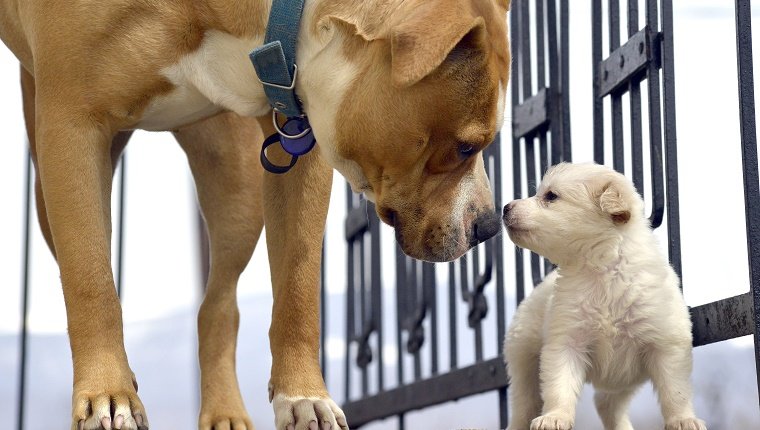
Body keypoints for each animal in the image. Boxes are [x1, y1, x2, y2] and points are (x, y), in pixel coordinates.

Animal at [1, 0, 510, 430]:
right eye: (466, 146)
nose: (488, 225)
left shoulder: (299, 133)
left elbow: (298, 281)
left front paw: (304, 397)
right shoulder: (71, 128)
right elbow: (91, 280)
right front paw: (109, 393)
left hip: (235, 186)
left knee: (218, 304)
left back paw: (224, 412)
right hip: (51, 188)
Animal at [502, 162, 704, 430]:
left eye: (551, 196)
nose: (505, 207)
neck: (602, 270)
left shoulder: (666, 344)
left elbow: (675, 390)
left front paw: (683, 420)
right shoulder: (566, 341)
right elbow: (559, 386)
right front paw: (555, 417)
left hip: (625, 377)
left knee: (607, 403)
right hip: (523, 355)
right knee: (524, 405)